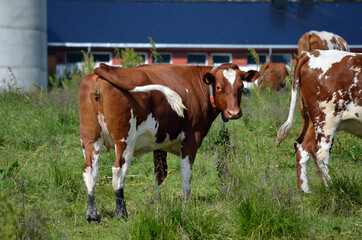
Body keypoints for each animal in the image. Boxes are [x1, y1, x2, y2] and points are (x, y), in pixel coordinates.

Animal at [79, 62, 260, 221]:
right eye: (219, 88)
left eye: (241, 87)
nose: (234, 112)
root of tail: (101, 70)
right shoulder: (191, 139)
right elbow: (186, 172)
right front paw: (186, 201)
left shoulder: (160, 141)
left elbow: (160, 173)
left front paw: (155, 201)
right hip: (125, 141)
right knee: (118, 172)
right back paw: (121, 213)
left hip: (90, 139)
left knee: (90, 170)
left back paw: (91, 213)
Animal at [278, 50, 360, 193]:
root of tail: (313, 53)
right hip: (326, 119)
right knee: (320, 153)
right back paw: (333, 188)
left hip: (310, 119)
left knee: (302, 146)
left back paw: (305, 190)